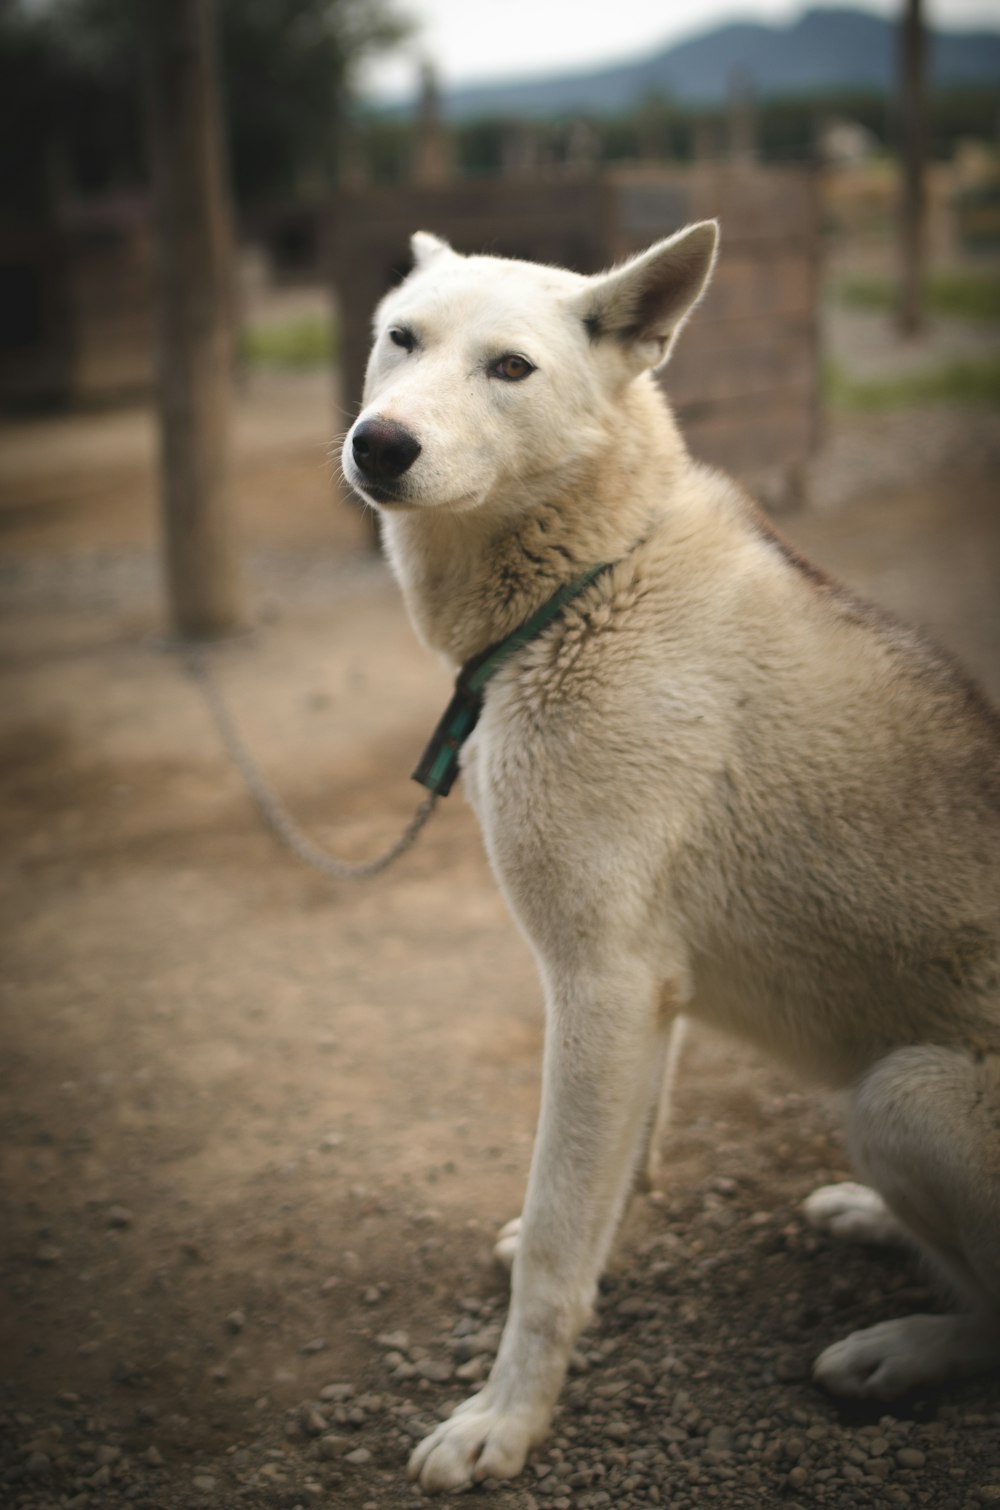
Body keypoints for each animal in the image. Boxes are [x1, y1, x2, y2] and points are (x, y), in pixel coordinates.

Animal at [341, 229, 996, 1491]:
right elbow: (607, 1183)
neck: (584, 584)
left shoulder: (600, 979)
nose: (378, 442)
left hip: (904, 1092)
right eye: (401, 339)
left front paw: (505, 1420)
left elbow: (558, 1240)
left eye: (509, 368)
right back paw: (870, 1221)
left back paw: (895, 1348)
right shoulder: (643, 993)